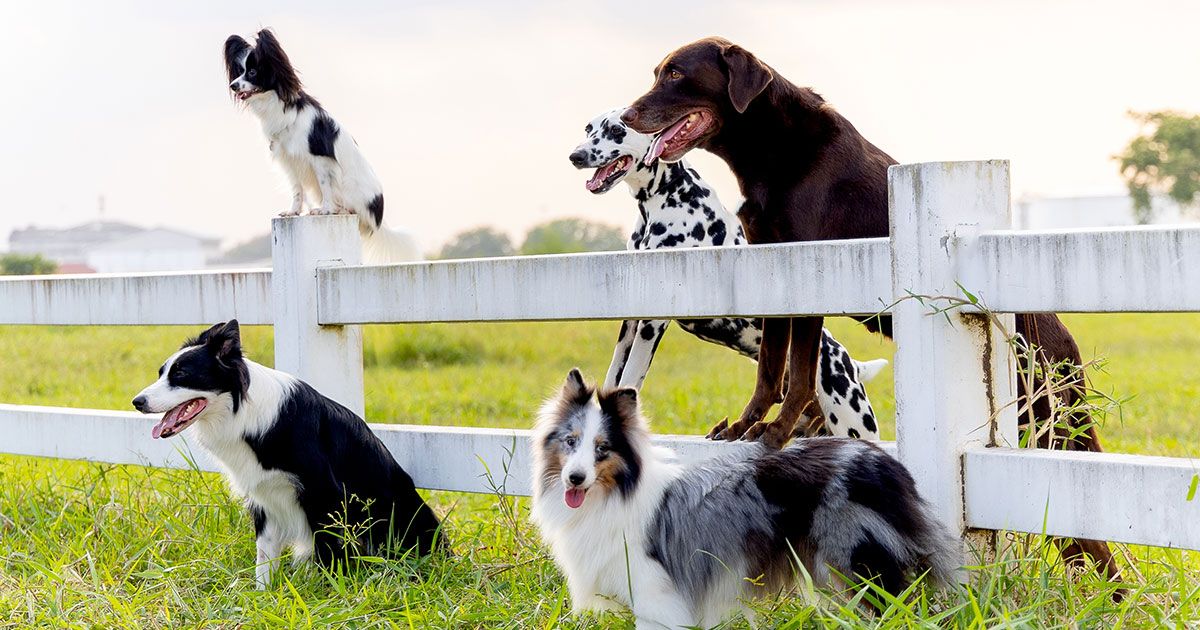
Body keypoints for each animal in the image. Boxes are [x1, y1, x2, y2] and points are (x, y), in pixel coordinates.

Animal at [132, 321, 441, 588]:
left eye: (181, 374)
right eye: (161, 373)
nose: (137, 402)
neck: (244, 413)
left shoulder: (323, 493)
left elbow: (328, 551)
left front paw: (330, 592)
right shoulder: (263, 498)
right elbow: (264, 556)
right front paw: (263, 596)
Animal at [530, 364, 960, 624]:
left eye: (602, 448)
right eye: (570, 441)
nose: (574, 479)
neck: (615, 493)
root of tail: (886, 463)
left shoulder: (657, 595)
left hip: (858, 561)